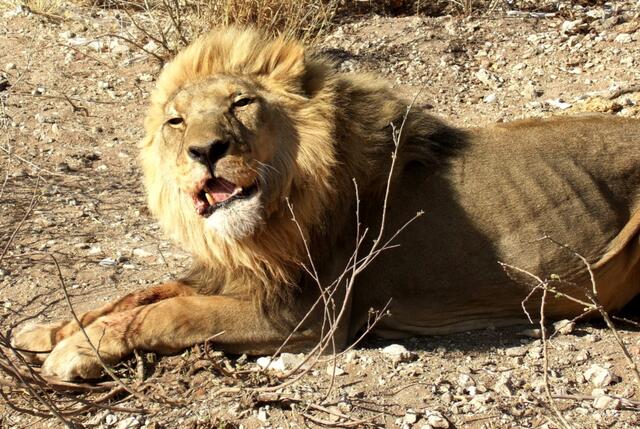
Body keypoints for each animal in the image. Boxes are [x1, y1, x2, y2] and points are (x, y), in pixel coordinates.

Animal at [12, 27, 640, 381]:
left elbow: (174, 311)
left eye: (241, 103)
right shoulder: (239, 274)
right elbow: (142, 293)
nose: (205, 151)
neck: (271, 214)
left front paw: (74, 352)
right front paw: (50, 330)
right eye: (176, 121)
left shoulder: (308, 316)